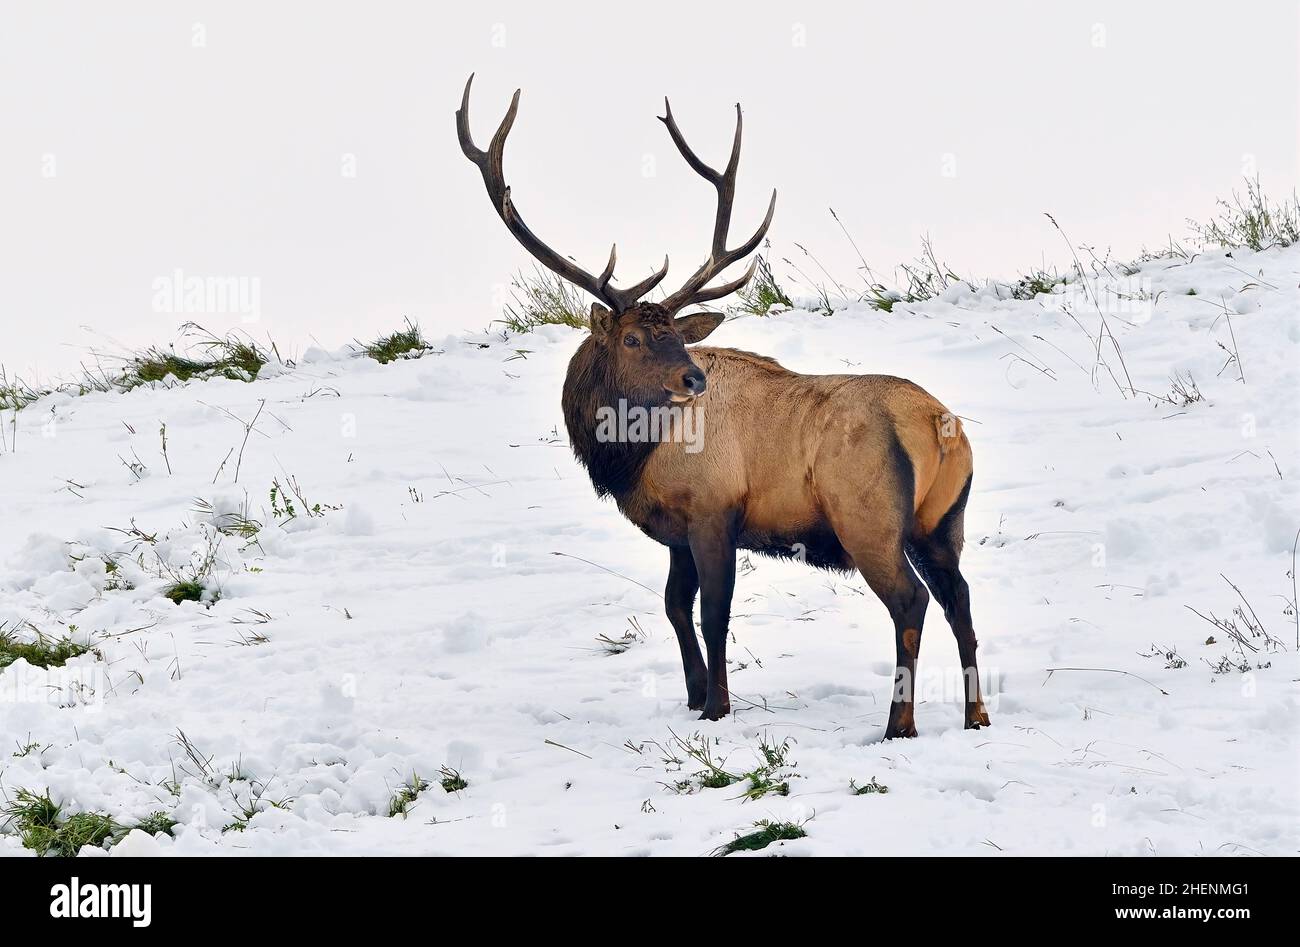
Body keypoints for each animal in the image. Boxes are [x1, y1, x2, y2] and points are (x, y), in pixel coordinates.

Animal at [457, 77, 982, 733]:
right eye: (634, 338)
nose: (693, 378)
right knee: (961, 599)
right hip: (943, 520)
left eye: (672, 336)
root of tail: (939, 427)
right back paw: (977, 715)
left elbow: (713, 613)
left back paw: (898, 725)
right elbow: (675, 607)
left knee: (911, 603)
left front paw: (716, 707)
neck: (630, 456)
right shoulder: (678, 532)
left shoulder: (712, 512)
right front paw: (691, 692)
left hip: (869, 519)